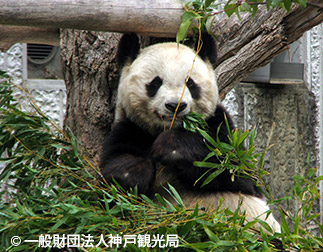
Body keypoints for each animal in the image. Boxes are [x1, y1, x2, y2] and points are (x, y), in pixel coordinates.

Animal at [101, 33, 280, 232]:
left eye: (191, 83)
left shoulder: (220, 125)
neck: (172, 127)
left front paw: (170, 147)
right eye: (155, 83)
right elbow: (112, 173)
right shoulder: (131, 127)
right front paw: (137, 172)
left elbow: (234, 170)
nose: (175, 105)